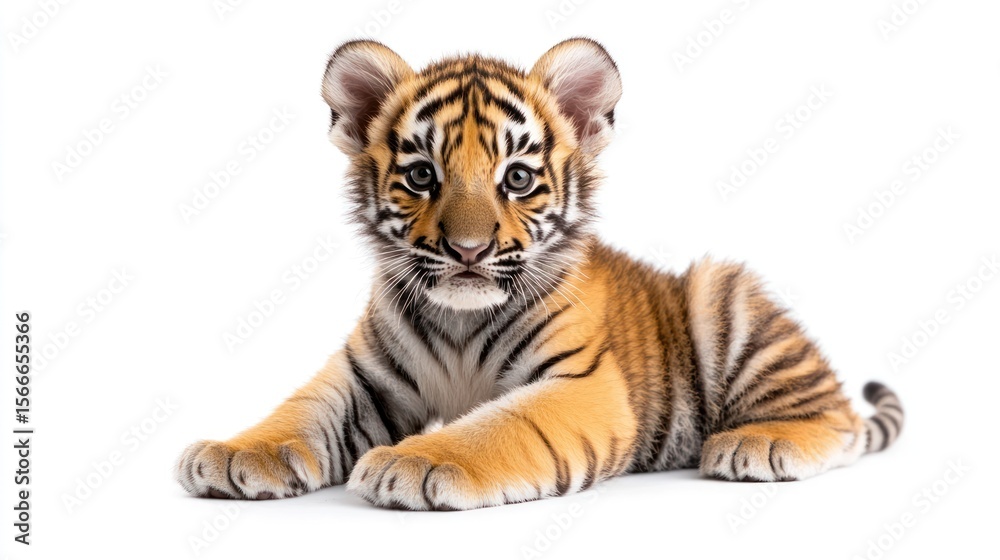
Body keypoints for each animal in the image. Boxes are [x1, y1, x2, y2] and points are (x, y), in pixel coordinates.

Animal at [175, 38, 904, 510]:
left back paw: (757, 443)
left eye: (518, 178)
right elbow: (299, 409)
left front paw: (416, 460)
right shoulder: (362, 377)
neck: (459, 319)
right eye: (422, 175)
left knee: (837, 417)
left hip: (724, 292)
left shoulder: (578, 384)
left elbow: (497, 425)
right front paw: (235, 453)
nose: (468, 250)